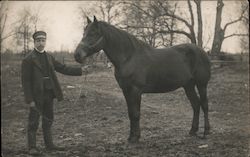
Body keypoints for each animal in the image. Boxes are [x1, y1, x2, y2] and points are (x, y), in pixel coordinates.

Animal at [73, 16, 211, 144]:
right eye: (84, 33)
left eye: (93, 33)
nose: (77, 55)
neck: (129, 57)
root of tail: (202, 51)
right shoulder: (126, 90)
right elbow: (130, 113)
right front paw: (131, 137)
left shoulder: (136, 90)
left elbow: (136, 113)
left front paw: (135, 137)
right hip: (188, 85)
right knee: (196, 105)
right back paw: (193, 131)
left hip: (202, 84)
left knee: (204, 105)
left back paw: (206, 132)